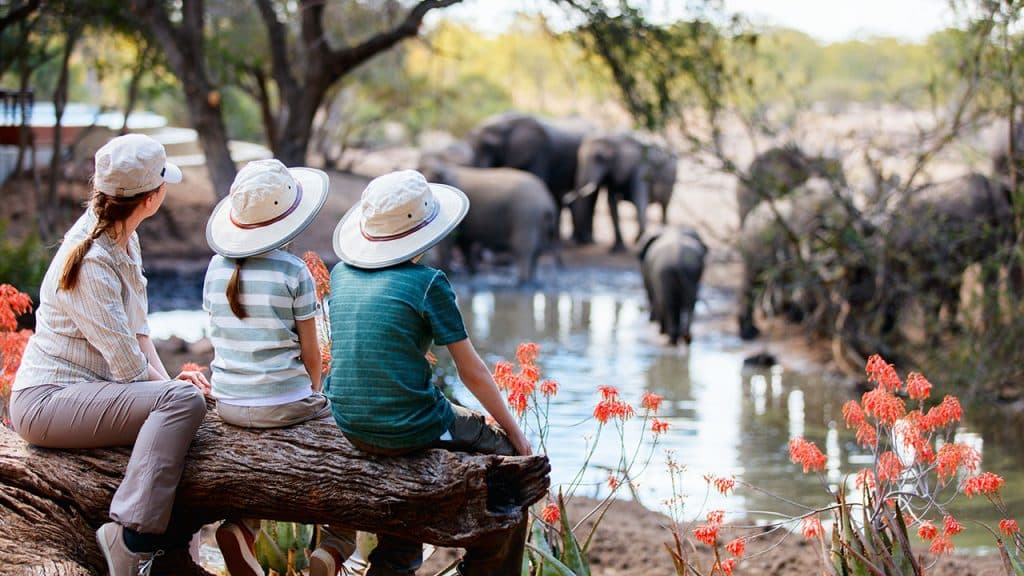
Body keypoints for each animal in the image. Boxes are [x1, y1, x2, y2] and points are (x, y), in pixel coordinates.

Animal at [417, 155, 561, 282]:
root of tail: (547, 202)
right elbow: (465, 241)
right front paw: (472, 273)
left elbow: (451, 241)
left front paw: (451, 272)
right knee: (538, 249)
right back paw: (530, 280)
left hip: (526, 215)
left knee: (524, 248)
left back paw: (522, 281)